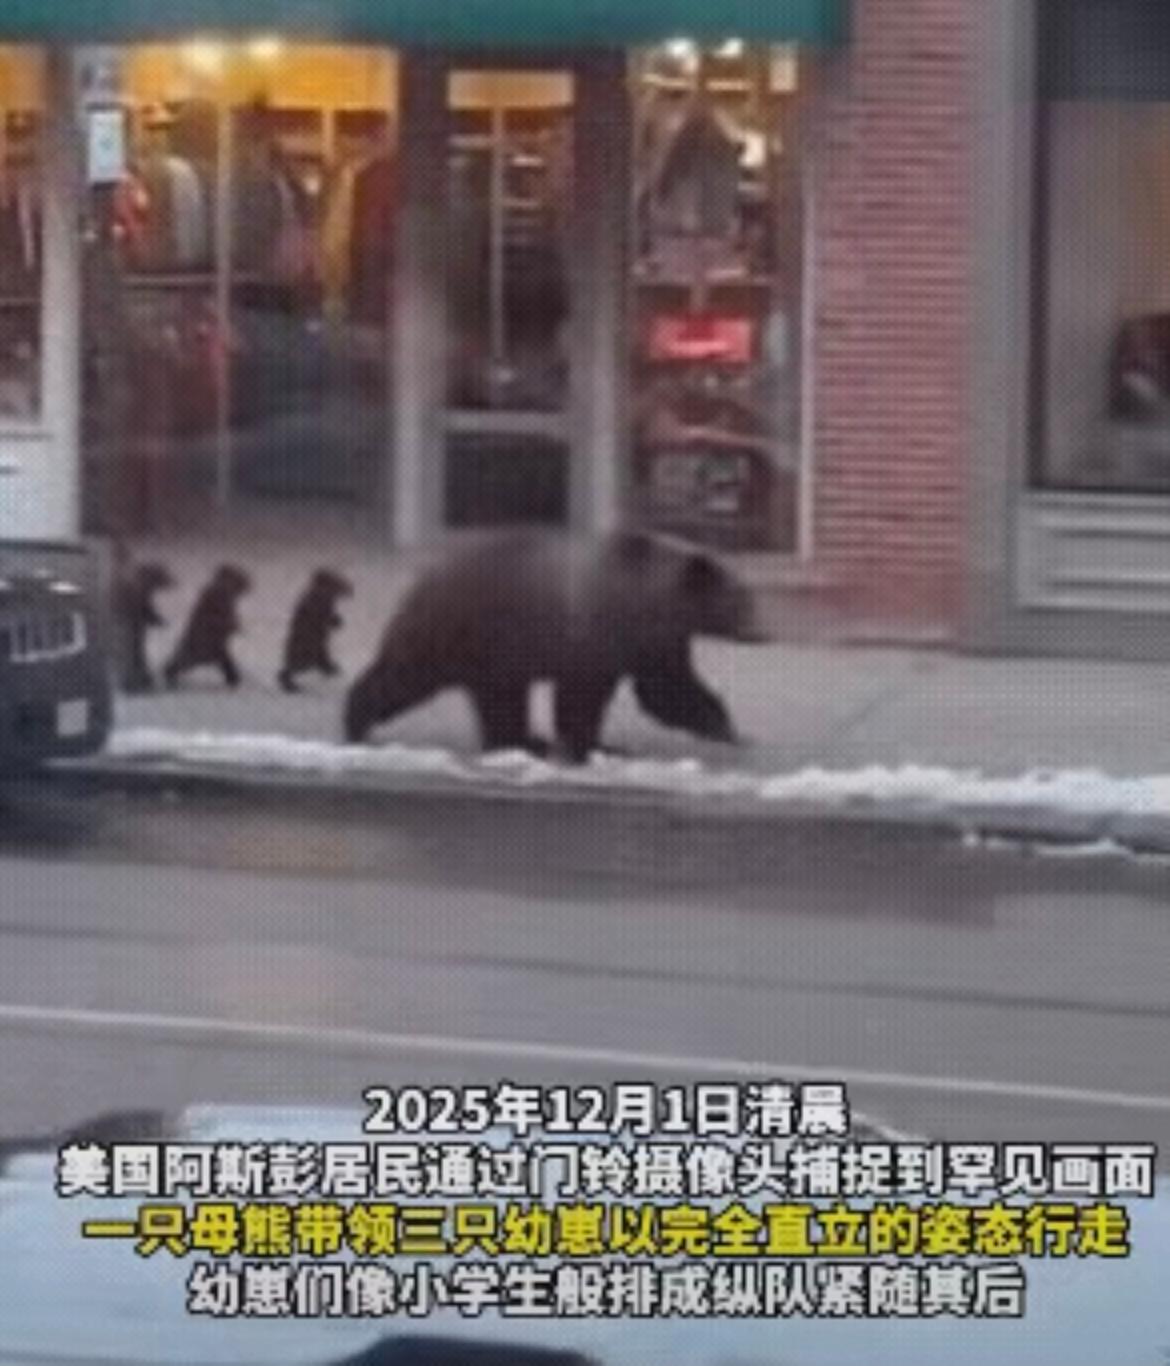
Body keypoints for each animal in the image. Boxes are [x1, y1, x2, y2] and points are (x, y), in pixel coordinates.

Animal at [343, 528, 766, 764]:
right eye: (741, 601)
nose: (761, 632)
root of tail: (420, 581)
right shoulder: (598, 634)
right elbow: (582, 698)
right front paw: (588, 747)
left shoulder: (657, 644)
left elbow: (671, 689)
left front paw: (727, 729)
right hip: (459, 633)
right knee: (404, 675)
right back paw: (355, 722)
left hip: (495, 655)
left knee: (501, 699)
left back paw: (525, 741)